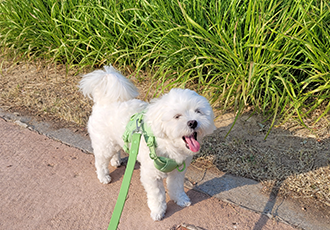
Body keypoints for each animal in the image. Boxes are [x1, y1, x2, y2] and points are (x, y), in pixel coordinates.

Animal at [78, 65, 215, 221]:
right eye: (177, 116)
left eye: (198, 111)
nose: (193, 122)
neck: (168, 145)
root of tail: (104, 102)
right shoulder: (151, 176)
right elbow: (158, 195)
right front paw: (158, 211)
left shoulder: (178, 172)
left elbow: (176, 187)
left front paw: (180, 199)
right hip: (105, 144)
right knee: (100, 161)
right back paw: (103, 176)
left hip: (114, 141)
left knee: (116, 150)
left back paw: (116, 161)